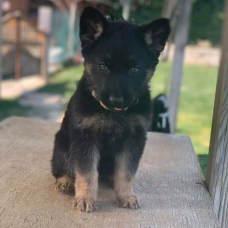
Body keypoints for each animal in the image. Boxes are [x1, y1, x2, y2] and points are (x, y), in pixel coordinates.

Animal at [51, 7, 169, 214]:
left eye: (135, 70)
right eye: (103, 66)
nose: (116, 100)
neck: (114, 114)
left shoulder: (134, 139)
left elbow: (126, 172)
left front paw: (126, 195)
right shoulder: (84, 138)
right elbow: (86, 172)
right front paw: (85, 198)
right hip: (62, 144)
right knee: (61, 168)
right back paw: (65, 180)